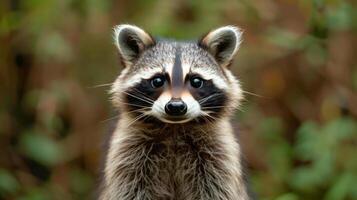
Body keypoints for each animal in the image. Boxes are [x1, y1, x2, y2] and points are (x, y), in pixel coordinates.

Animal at [98, 24, 249, 199]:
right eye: (157, 81)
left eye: (196, 81)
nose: (176, 106)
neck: (174, 129)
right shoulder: (128, 153)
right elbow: (129, 189)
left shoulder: (219, 155)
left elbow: (218, 189)